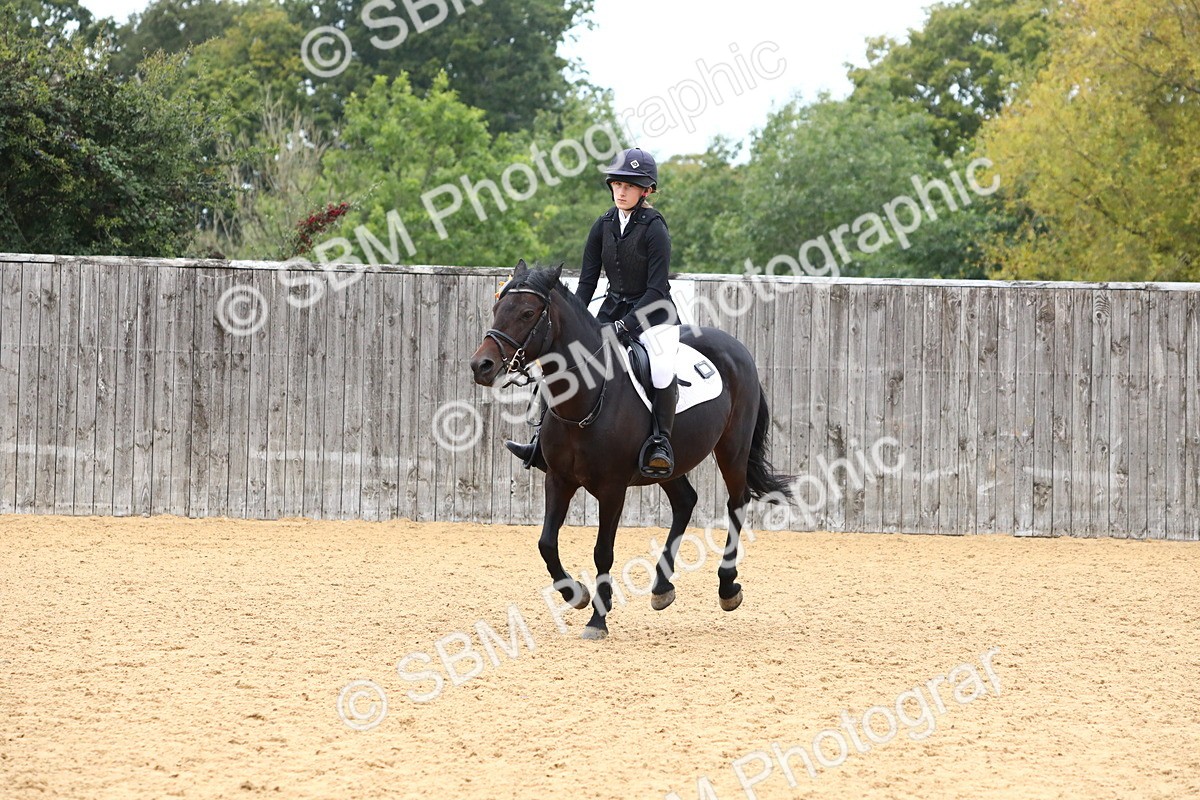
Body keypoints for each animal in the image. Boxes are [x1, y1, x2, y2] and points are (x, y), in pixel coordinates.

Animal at [469, 261, 793, 639]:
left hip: (732, 448)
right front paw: (576, 594)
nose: (482, 366)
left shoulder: (612, 489)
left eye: (527, 313)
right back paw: (662, 587)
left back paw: (727, 587)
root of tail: (737, 348)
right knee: (685, 501)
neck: (587, 399)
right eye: (497, 309)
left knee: (736, 503)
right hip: (671, 464)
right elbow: (546, 542)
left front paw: (597, 619)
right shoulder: (559, 479)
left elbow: (602, 552)